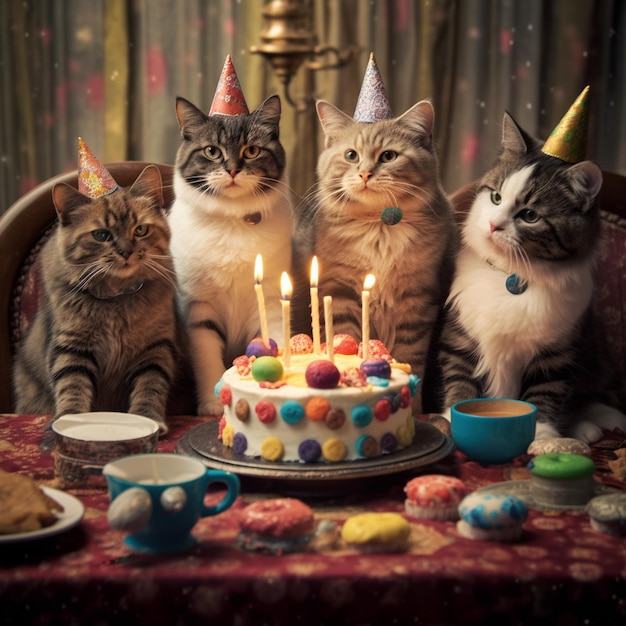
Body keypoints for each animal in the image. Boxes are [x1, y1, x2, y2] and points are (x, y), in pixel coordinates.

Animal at [12, 163, 180, 442]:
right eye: (101, 235)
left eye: (140, 230)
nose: (126, 252)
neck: (116, 299)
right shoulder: (71, 347)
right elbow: (72, 386)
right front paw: (70, 421)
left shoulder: (155, 347)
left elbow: (150, 386)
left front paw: (149, 419)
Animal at [167, 94, 292, 414]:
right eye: (212, 151)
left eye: (252, 150)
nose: (233, 170)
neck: (233, 221)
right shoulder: (199, 308)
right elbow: (207, 356)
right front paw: (212, 404)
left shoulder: (271, 300)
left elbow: (272, 338)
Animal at [428, 113, 624, 444]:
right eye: (496, 197)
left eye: (530, 216)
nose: (493, 225)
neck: (513, 276)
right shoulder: (459, 340)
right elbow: (460, 385)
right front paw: (452, 421)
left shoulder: (556, 355)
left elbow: (543, 397)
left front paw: (543, 435)